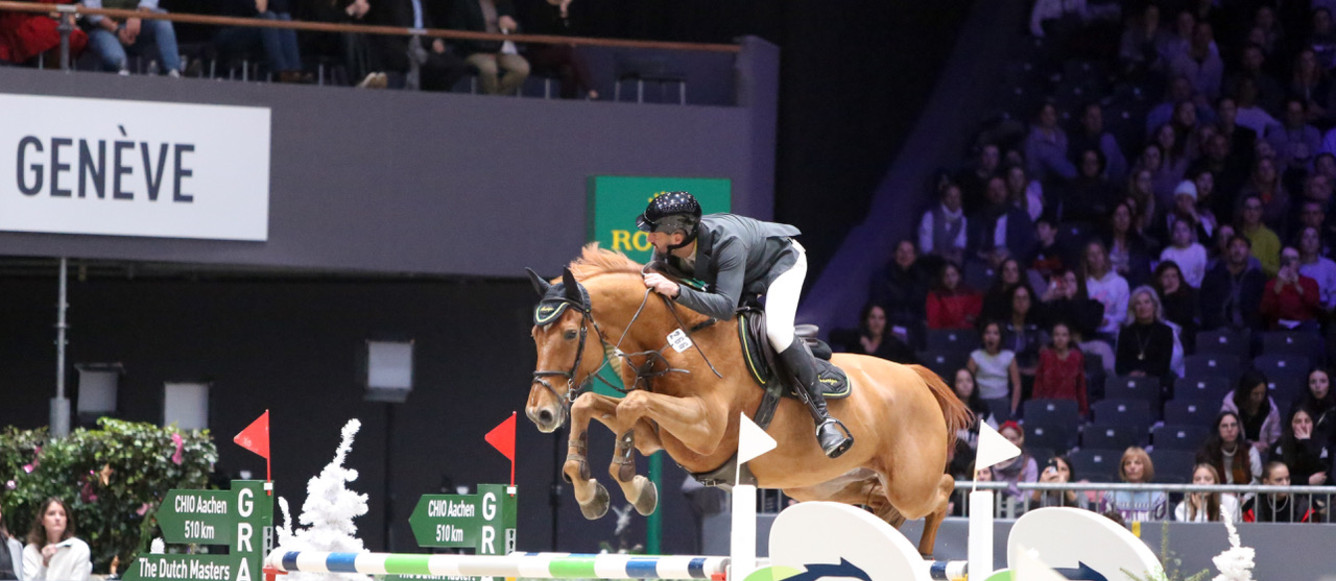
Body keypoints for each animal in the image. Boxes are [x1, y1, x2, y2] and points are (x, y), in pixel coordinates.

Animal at [526, 244, 977, 555]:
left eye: (570, 334)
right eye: (534, 335)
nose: (539, 413)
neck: (672, 344)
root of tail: (917, 377)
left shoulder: (704, 429)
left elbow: (629, 404)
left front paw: (633, 484)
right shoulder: (658, 434)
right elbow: (594, 405)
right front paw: (592, 492)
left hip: (910, 484)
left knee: (943, 490)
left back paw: (925, 554)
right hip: (830, 486)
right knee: (882, 505)